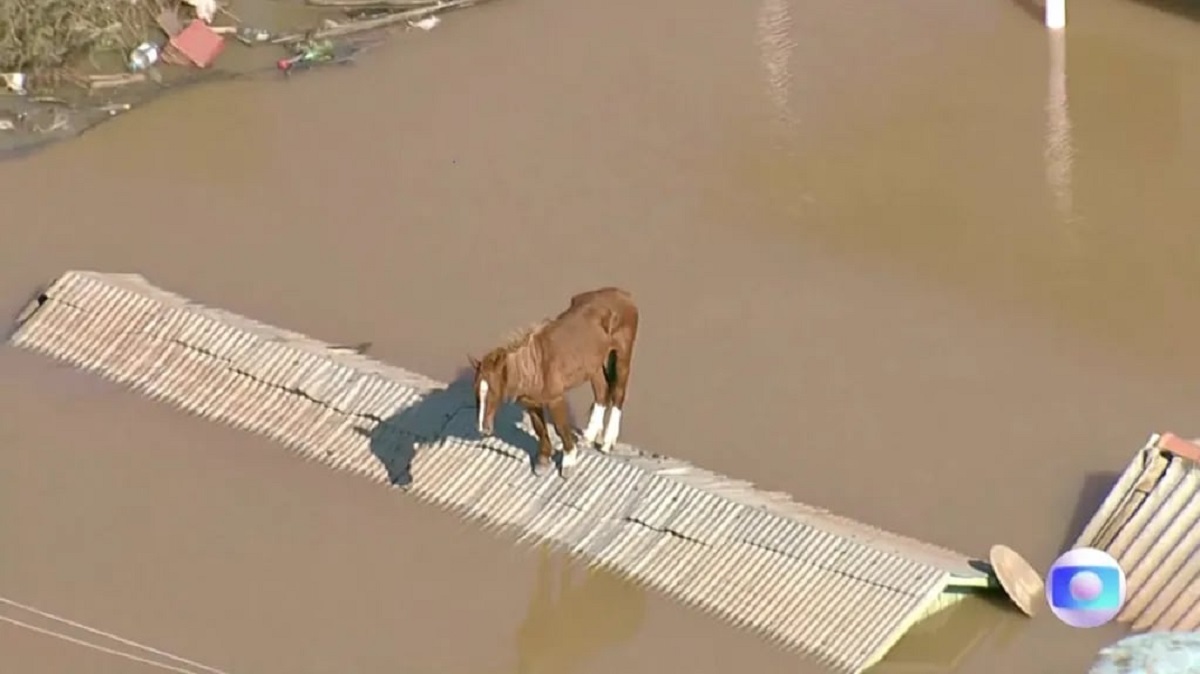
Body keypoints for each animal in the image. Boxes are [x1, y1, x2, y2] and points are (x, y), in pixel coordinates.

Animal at [465, 285, 638, 474]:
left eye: (494, 391)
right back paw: (588, 437)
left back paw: (607, 443)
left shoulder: (555, 399)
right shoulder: (531, 403)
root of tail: (623, 294)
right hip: (594, 364)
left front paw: (568, 462)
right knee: (602, 392)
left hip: (622, 354)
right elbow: (540, 429)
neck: (534, 366)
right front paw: (542, 461)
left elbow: (560, 428)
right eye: (475, 391)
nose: (483, 429)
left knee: (618, 394)